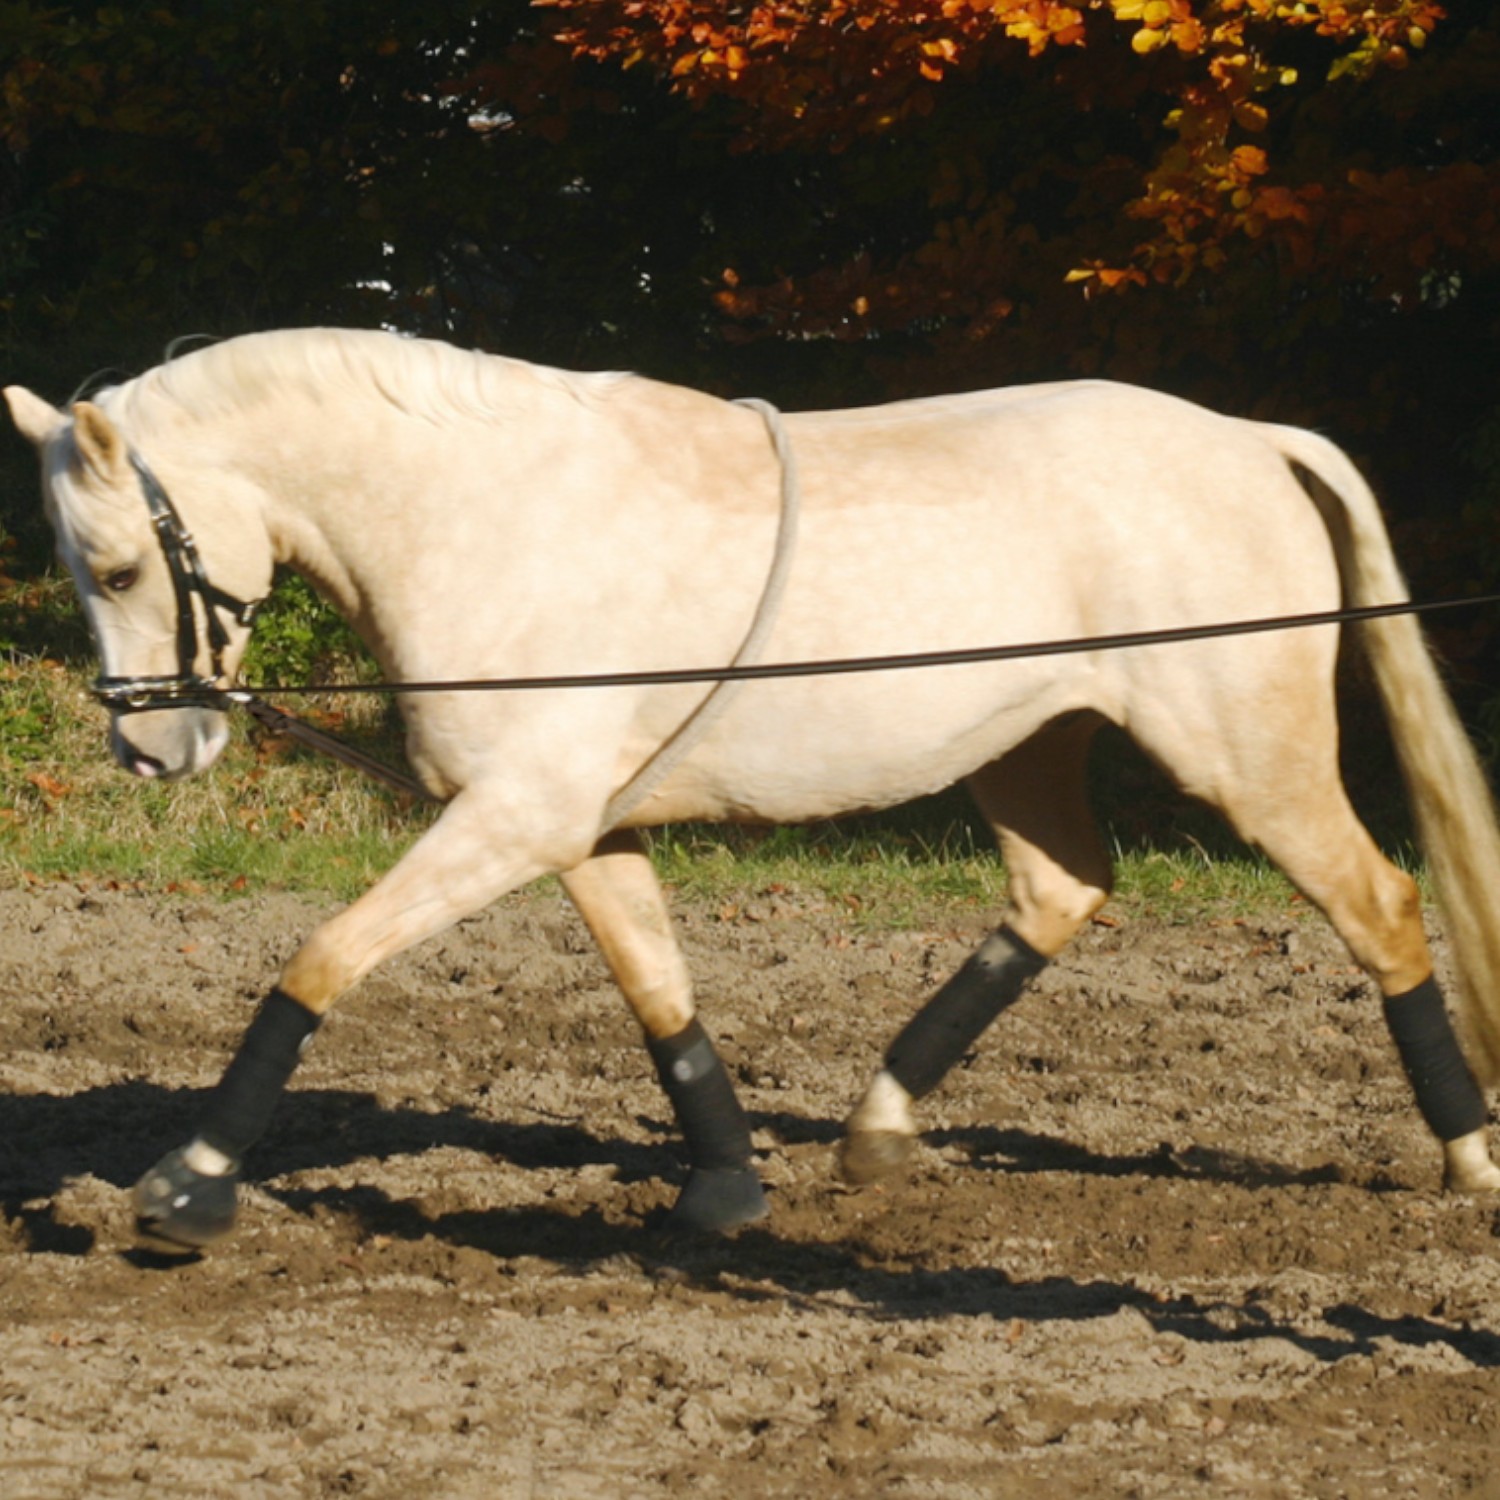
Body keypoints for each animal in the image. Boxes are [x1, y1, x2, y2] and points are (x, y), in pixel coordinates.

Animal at [2, 331, 1500, 1254]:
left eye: (123, 566)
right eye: (80, 572)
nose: (153, 754)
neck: (495, 515)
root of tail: (1251, 440)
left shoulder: (515, 816)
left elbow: (319, 961)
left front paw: (189, 1186)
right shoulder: (578, 825)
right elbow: (660, 992)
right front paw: (726, 1186)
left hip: (1249, 758)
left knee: (1381, 906)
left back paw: (1471, 1159)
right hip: (1027, 744)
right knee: (1062, 891)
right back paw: (878, 1128)